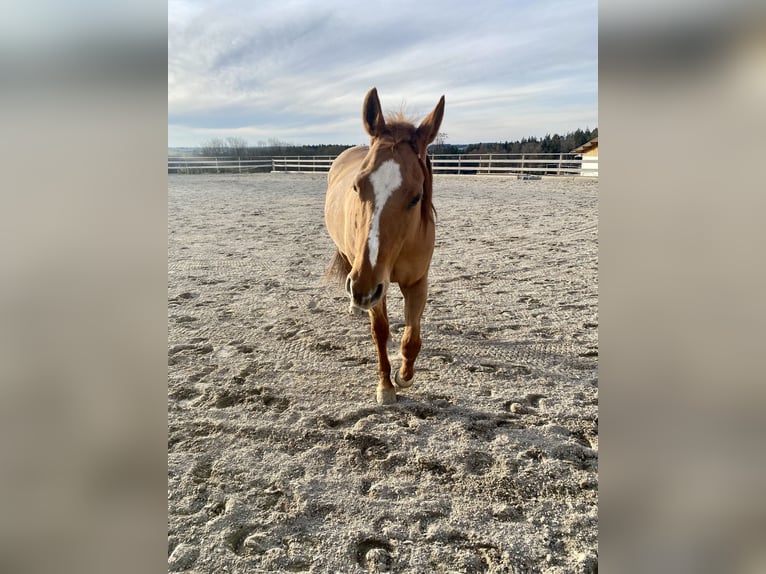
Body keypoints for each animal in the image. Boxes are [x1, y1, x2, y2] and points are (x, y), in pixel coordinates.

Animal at [324, 87, 445, 404]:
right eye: (357, 186)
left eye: (416, 197)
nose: (362, 290)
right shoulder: (371, 279)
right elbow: (379, 331)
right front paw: (385, 386)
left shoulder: (417, 282)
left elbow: (412, 338)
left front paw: (404, 377)